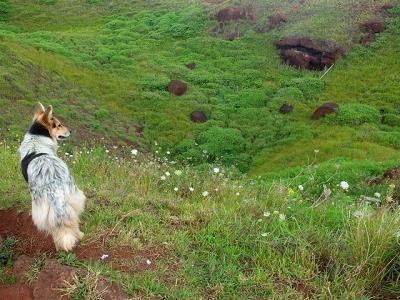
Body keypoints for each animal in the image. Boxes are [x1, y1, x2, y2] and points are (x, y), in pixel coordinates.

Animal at [18, 103, 86, 251]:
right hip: (73, 197)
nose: (71, 130)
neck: (36, 139)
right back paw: (79, 234)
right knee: (73, 219)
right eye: (59, 125)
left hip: (41, 206)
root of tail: (55, 186)